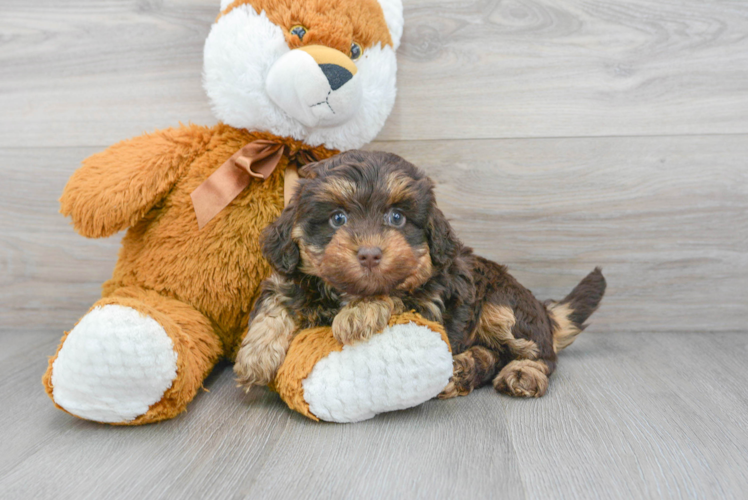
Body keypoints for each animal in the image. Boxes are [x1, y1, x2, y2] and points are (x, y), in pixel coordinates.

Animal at [235, 151, 608, 398]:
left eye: (397, 218)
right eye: (337, 219)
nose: (370, 254)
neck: (342, 291)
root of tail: (544, 311)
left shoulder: (430, 303)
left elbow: (397, 293)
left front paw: (359, 312)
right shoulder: (288, 278)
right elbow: (274, 301)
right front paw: (256, 355)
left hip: (503, 307)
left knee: (540, 352)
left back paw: (523, 372)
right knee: (493, 353)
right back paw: (464, 369)